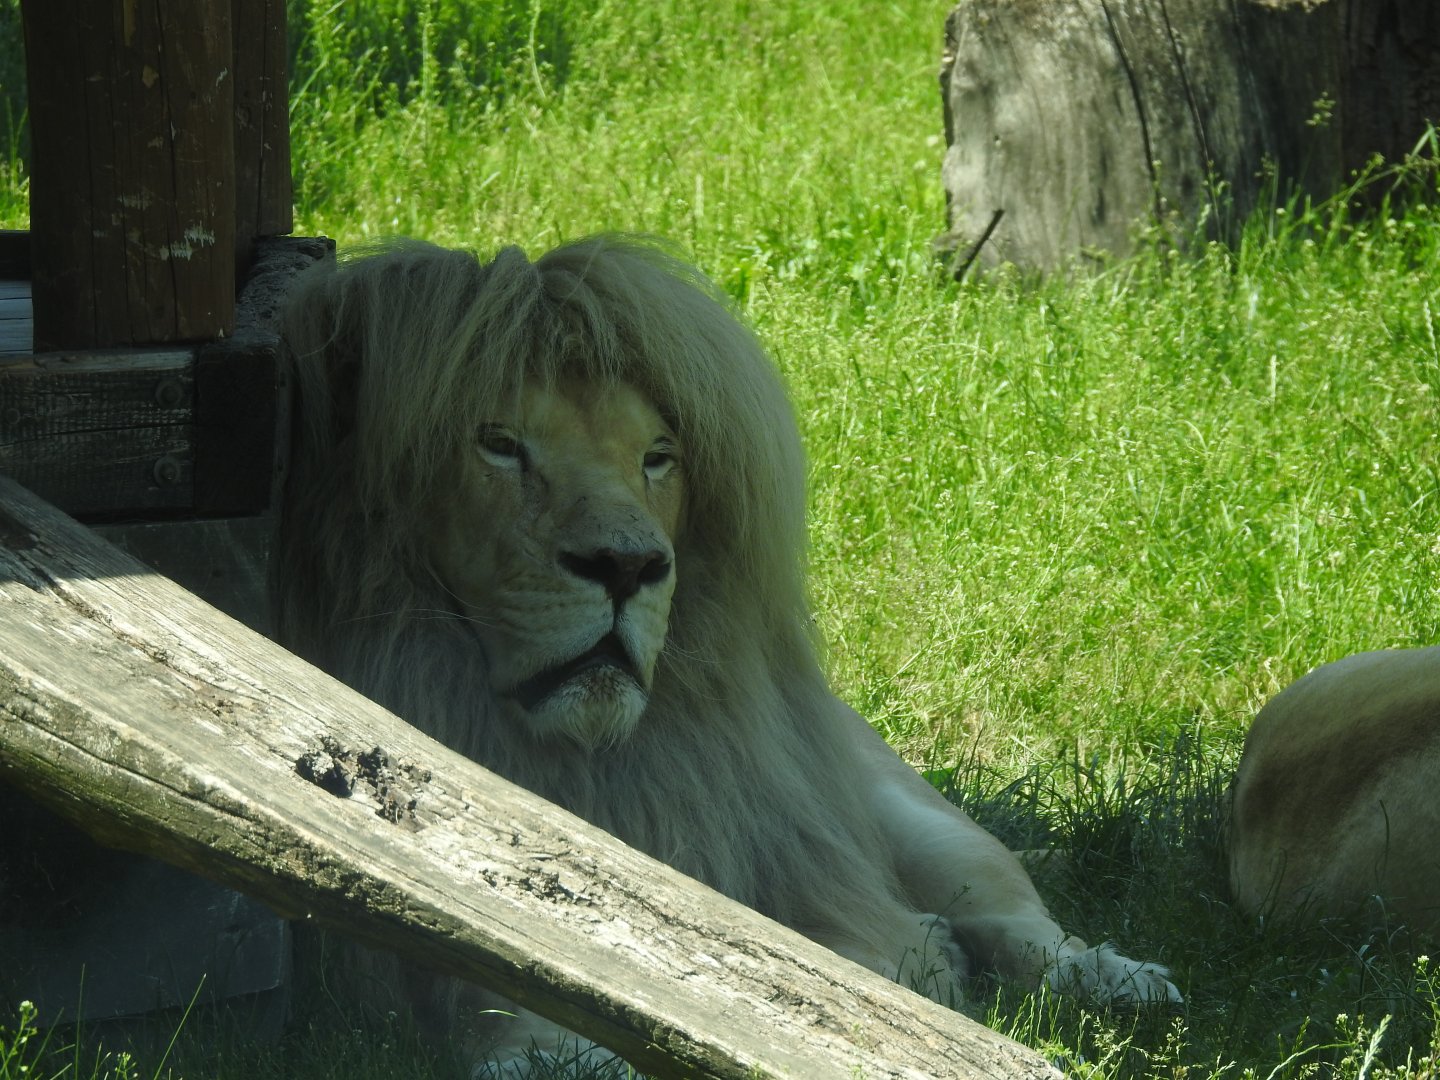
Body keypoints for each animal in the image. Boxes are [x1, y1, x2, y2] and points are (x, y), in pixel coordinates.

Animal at [275, 236, 1180, 1075]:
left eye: (657, 457)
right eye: (500, 444)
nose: (628, 567)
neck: (587, 760)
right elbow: (513, 1002)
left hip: (925, 824)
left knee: (1028, 928)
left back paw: (1120, 982)